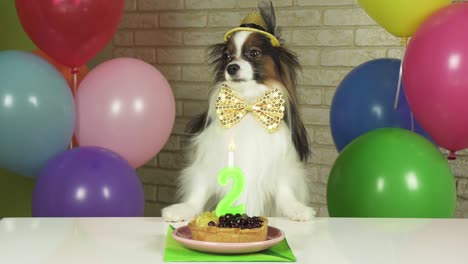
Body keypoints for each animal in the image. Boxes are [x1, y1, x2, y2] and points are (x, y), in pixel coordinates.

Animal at [161, 1, 314, 222]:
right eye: (227, 56)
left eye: (254, 53)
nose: (231, 67)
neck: (248, 104)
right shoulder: (210, 157)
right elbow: (199, 188)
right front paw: (183, 209)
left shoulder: (280, 163)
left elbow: (284, 190)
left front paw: (296, 209)